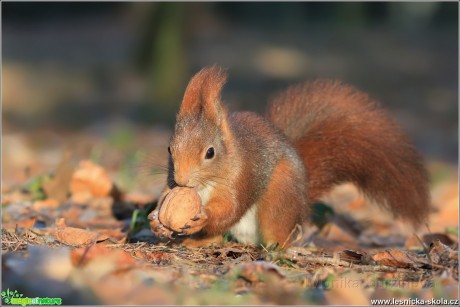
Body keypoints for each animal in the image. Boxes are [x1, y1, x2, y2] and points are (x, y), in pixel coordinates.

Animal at [148, 65, 432, 248]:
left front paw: (203, 217)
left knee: (276, 233)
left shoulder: (243, 177)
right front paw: (155, 220)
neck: (203, 187)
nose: (182, 181)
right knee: (216, 236)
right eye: (169, 149)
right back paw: (194, 244)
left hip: (280, 197)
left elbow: (230, 208)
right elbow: (166, 196)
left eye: (210, 152)